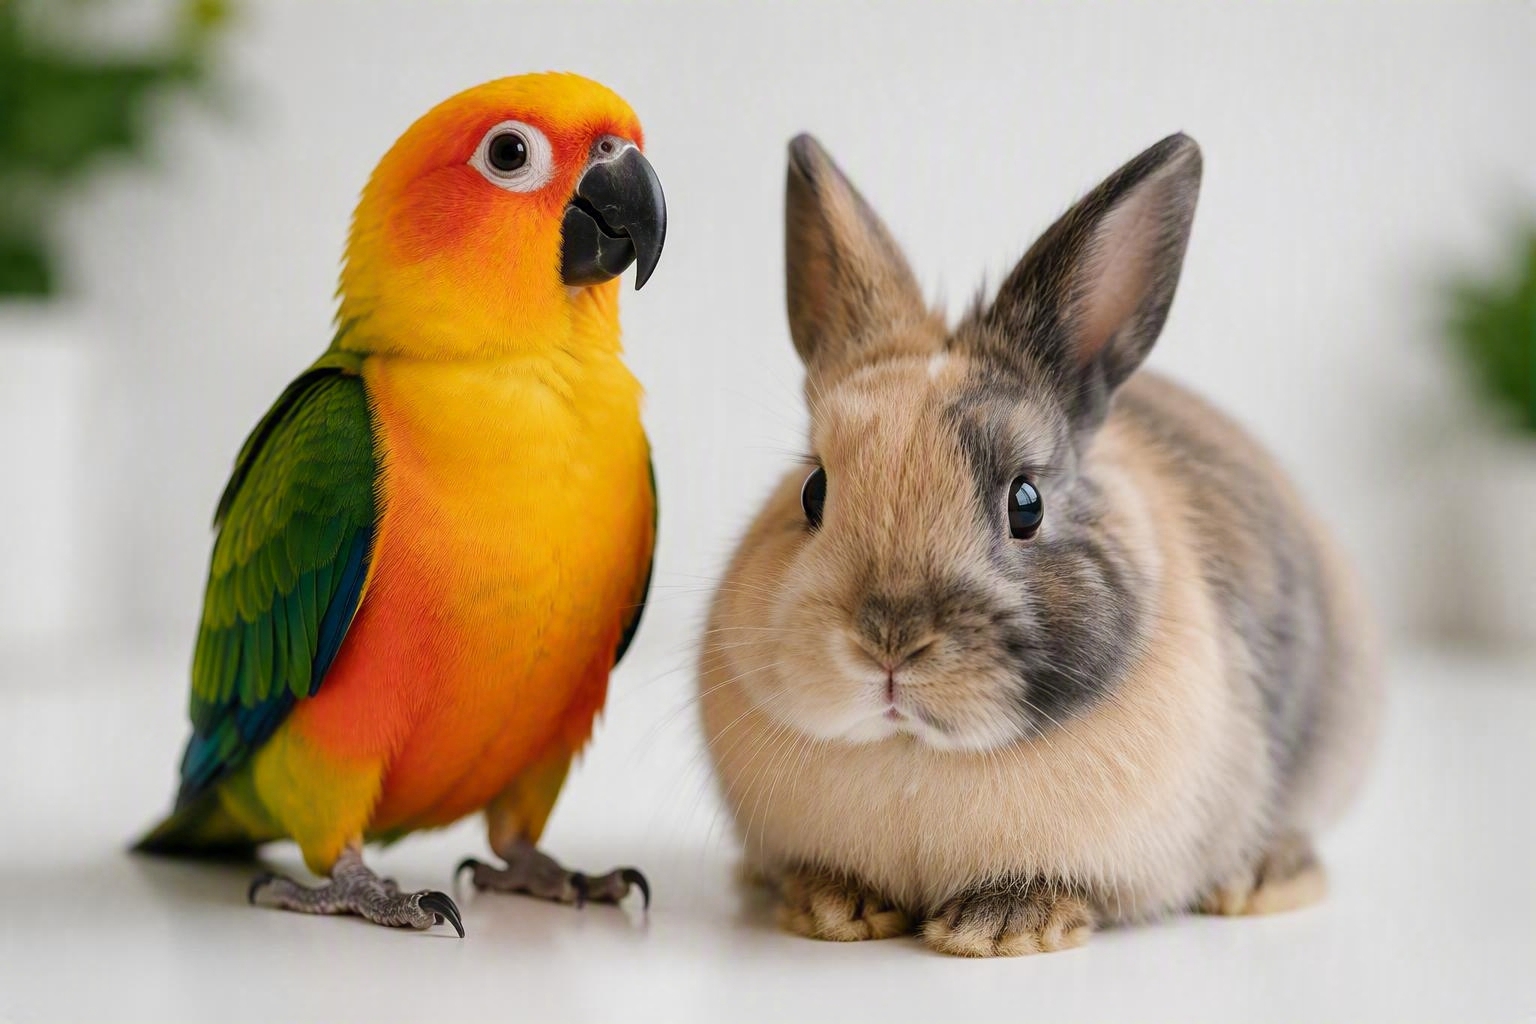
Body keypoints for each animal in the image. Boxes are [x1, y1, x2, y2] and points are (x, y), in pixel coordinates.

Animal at [697, 132, 1382, 958]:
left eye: (1026, 503)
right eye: (813, 492)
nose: (889, 641)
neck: (914, 754)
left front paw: (998, 928)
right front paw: (834, 908)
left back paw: (1260, 880)